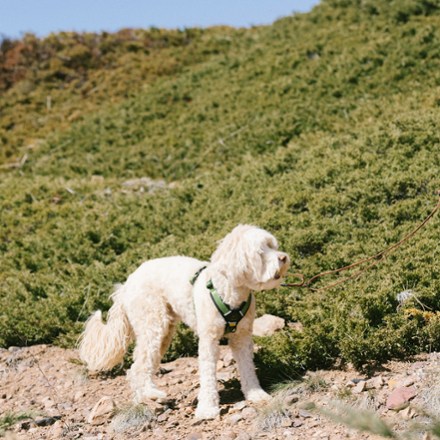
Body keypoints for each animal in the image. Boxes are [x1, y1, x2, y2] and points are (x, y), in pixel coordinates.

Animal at [79, 225, 290, 418]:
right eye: (261, 252)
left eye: (273, 246)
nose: (283, 257)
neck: (229, 292)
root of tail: (127, 284)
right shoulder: (208, 340)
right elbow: (208, 375)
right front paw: (207, 408)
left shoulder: (243, 337)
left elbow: (248, 368)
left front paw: (256, 394)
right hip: (152, 325)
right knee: (139, 365)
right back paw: (147, 396)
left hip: (164, 332)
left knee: (141, 365)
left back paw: (149, 392)